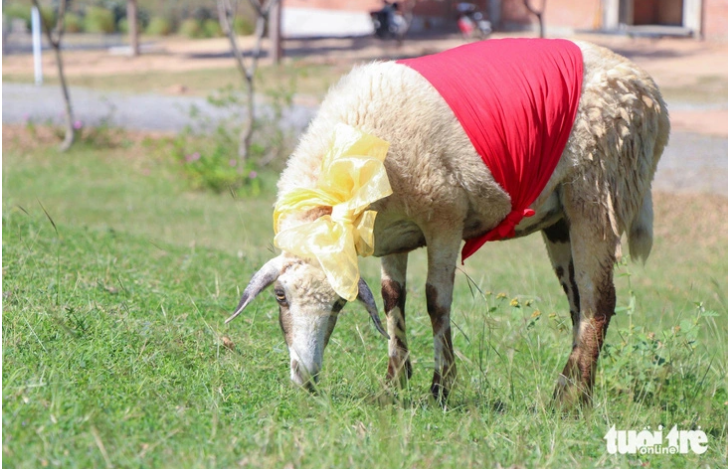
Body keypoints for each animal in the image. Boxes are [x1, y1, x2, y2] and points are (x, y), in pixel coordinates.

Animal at [228, 39, 672, 406]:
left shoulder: (444, 218)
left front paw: (441, 386)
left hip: (598, 192)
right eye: (280, 296)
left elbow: (435, 301)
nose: (305, 377)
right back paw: (571, 390)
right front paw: (393, 382)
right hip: (560, 218)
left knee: (600, 301)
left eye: (339, 303)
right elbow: (393, 297)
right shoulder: (391, 230)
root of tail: (652, 92)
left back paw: (570, 402)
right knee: (579, 301)